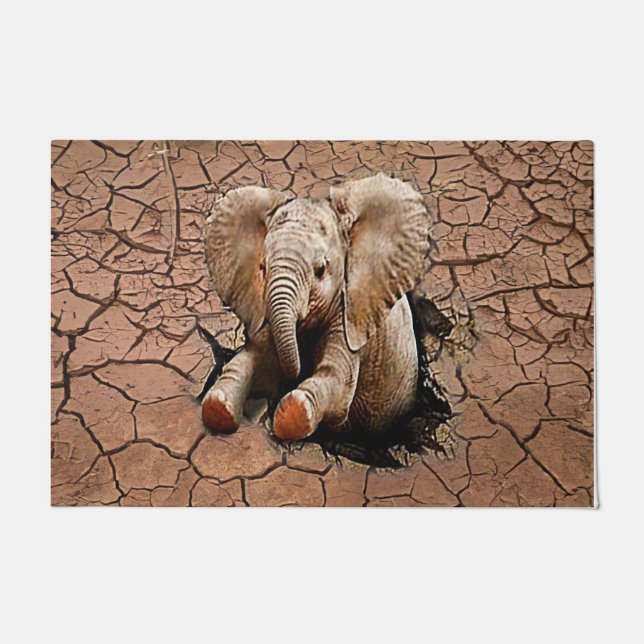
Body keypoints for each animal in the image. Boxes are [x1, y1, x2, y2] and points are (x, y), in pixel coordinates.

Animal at [201, 173, 431, 443]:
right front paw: (217, 407)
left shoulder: (350, 316)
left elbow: (336, 379)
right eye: (262, 268)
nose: (294, 375)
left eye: (320, 270)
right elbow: (252, 360)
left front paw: (290, 414)